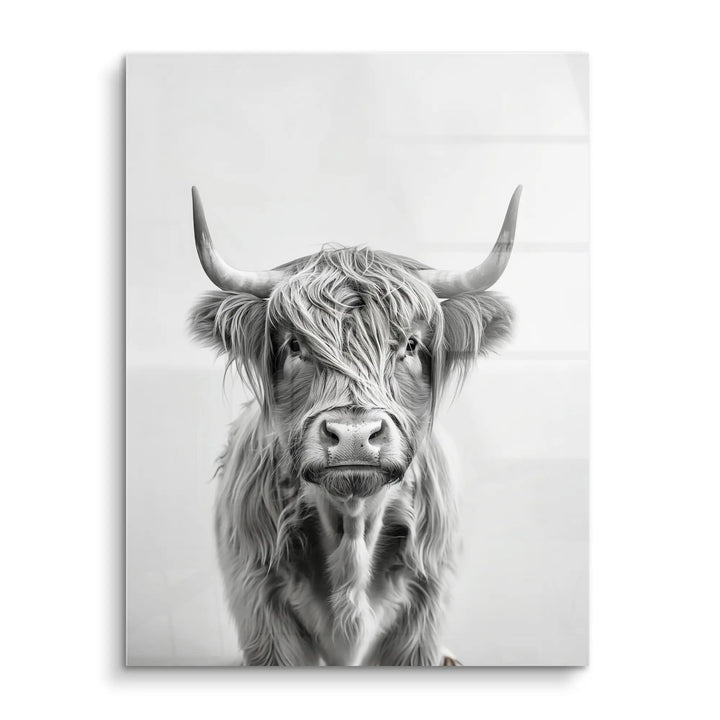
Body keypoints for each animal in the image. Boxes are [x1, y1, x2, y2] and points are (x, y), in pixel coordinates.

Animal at [189, 185, 521, 666]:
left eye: (410, 345)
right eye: (295, 345)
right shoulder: (262, 611)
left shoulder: (422, 615)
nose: (353, 436)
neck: (353, 522)